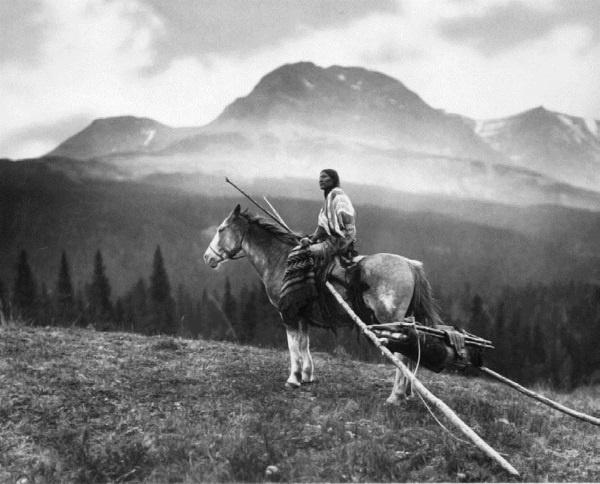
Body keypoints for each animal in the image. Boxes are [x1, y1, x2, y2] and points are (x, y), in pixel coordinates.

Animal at [204, 204, 442, 404]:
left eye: (221, 229)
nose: (207, 258)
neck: (281, 259)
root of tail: (410, 265)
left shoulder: (289, 314)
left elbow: (293, 345)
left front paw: (293, 378)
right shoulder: (301, 315)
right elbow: (304, 344)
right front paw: (307, 375)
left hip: (391, 323)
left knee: (401, 355)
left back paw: (395, 396)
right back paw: (408, 392)